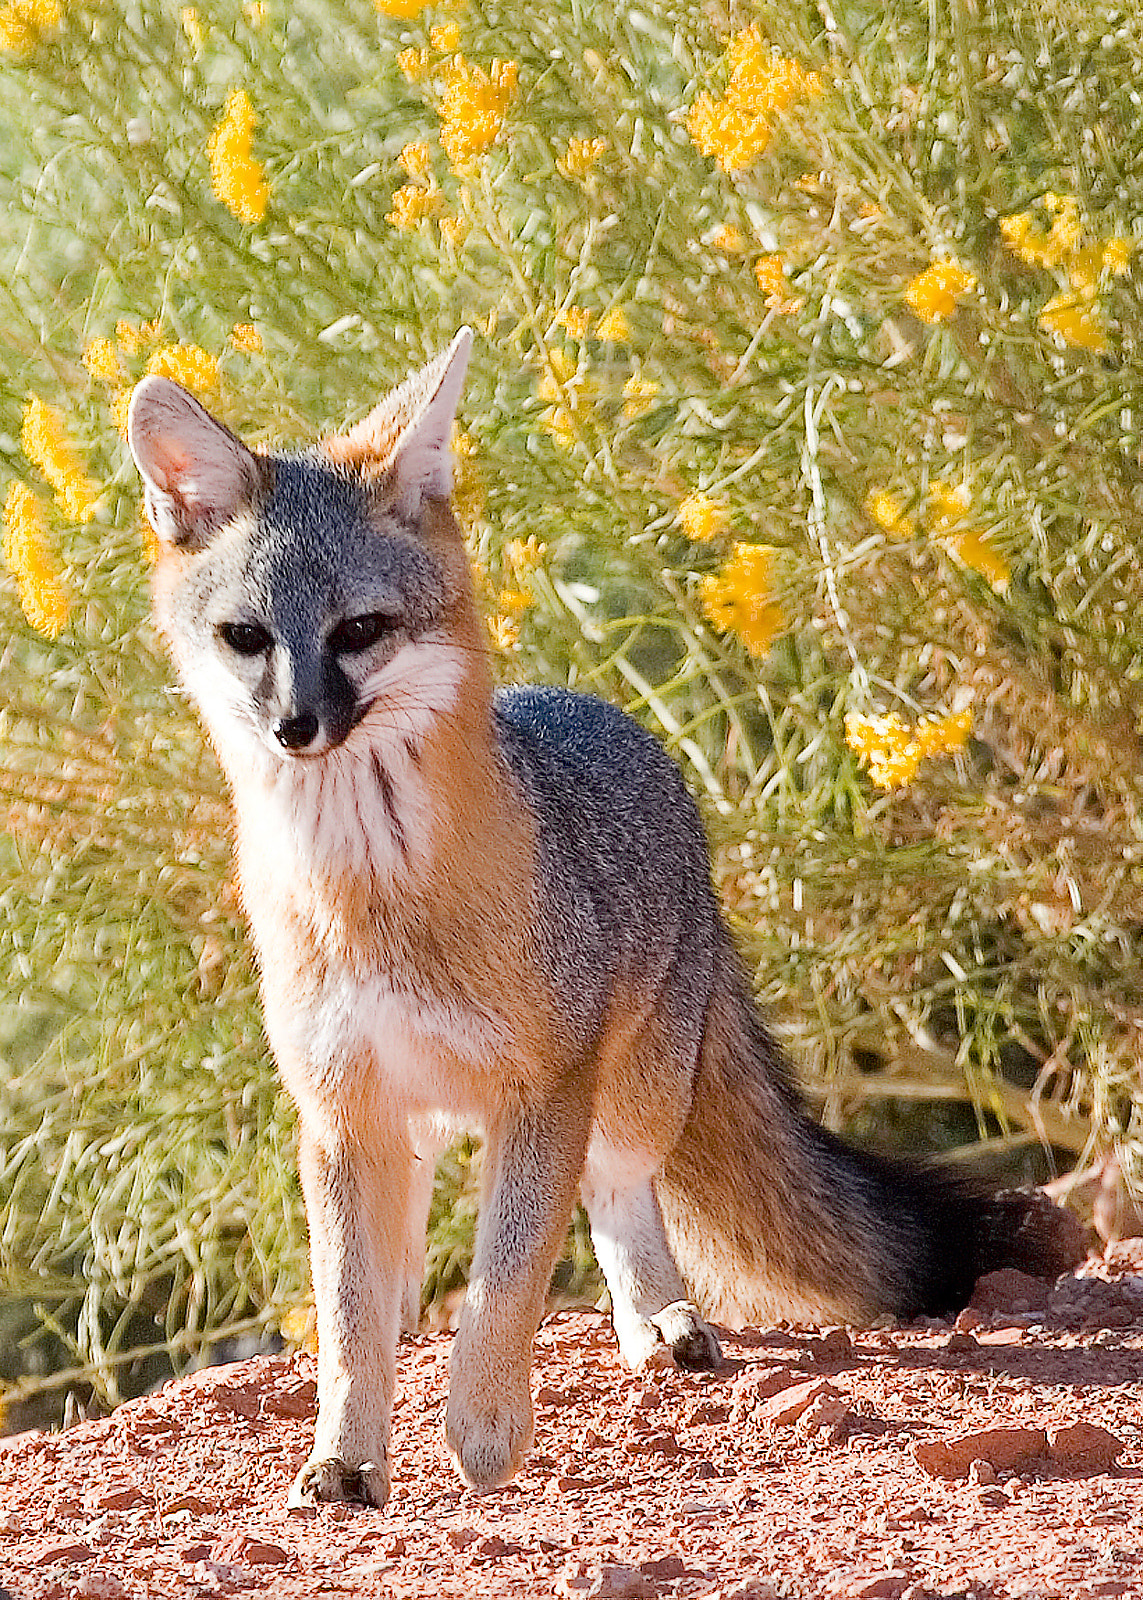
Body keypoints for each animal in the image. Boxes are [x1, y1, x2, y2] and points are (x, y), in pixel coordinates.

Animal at [127, 328, 1083, 1509]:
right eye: (246, 637)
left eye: (359, 631)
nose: (297, 726)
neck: (373, 903)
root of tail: (612, 716)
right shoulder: (342, 1108)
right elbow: (350, 1317)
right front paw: (347, 1453)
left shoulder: (545, 1088)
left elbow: (505, 1284)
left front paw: (485, 1431)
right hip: (416, 1125)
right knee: (403, 1254)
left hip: (631, 1095)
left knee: (620, 1192)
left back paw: (655, 1318)